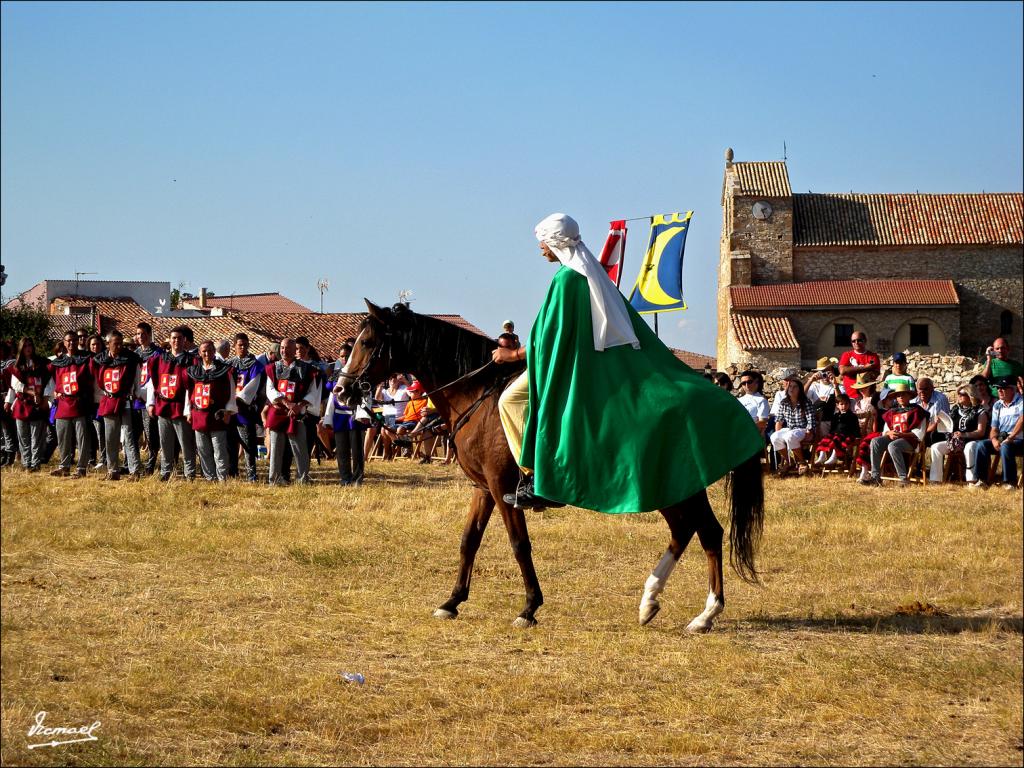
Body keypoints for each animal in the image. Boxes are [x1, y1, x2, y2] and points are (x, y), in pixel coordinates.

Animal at [339, 301, 765, 630]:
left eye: (368, 342)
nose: (342, 390)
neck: (479, 397)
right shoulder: (483, 488)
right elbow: (468, 541)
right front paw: (452, 601)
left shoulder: (503, 488)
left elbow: (519, 544)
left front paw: (528, 608)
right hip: (674, 488)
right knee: (692, 530)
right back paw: (652, 603)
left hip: (675, 486)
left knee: (705, 532)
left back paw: (705, 614)